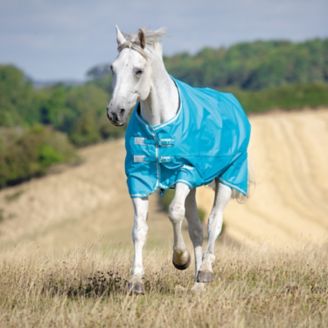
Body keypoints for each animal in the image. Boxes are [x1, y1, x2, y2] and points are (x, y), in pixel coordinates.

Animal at [106, 26, 250, 294]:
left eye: (138, 70)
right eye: (113, 68)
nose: (114, 113)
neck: (159, 125)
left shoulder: (186, 171)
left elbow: (174, 212)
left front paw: (180, 259)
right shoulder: (139, 179)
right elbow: (139, 229)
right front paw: (136, 281)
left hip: (229, 176)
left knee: (214, 222)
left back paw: (205, 271)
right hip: (194, 188)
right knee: (195, 228)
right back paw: (197, 284)